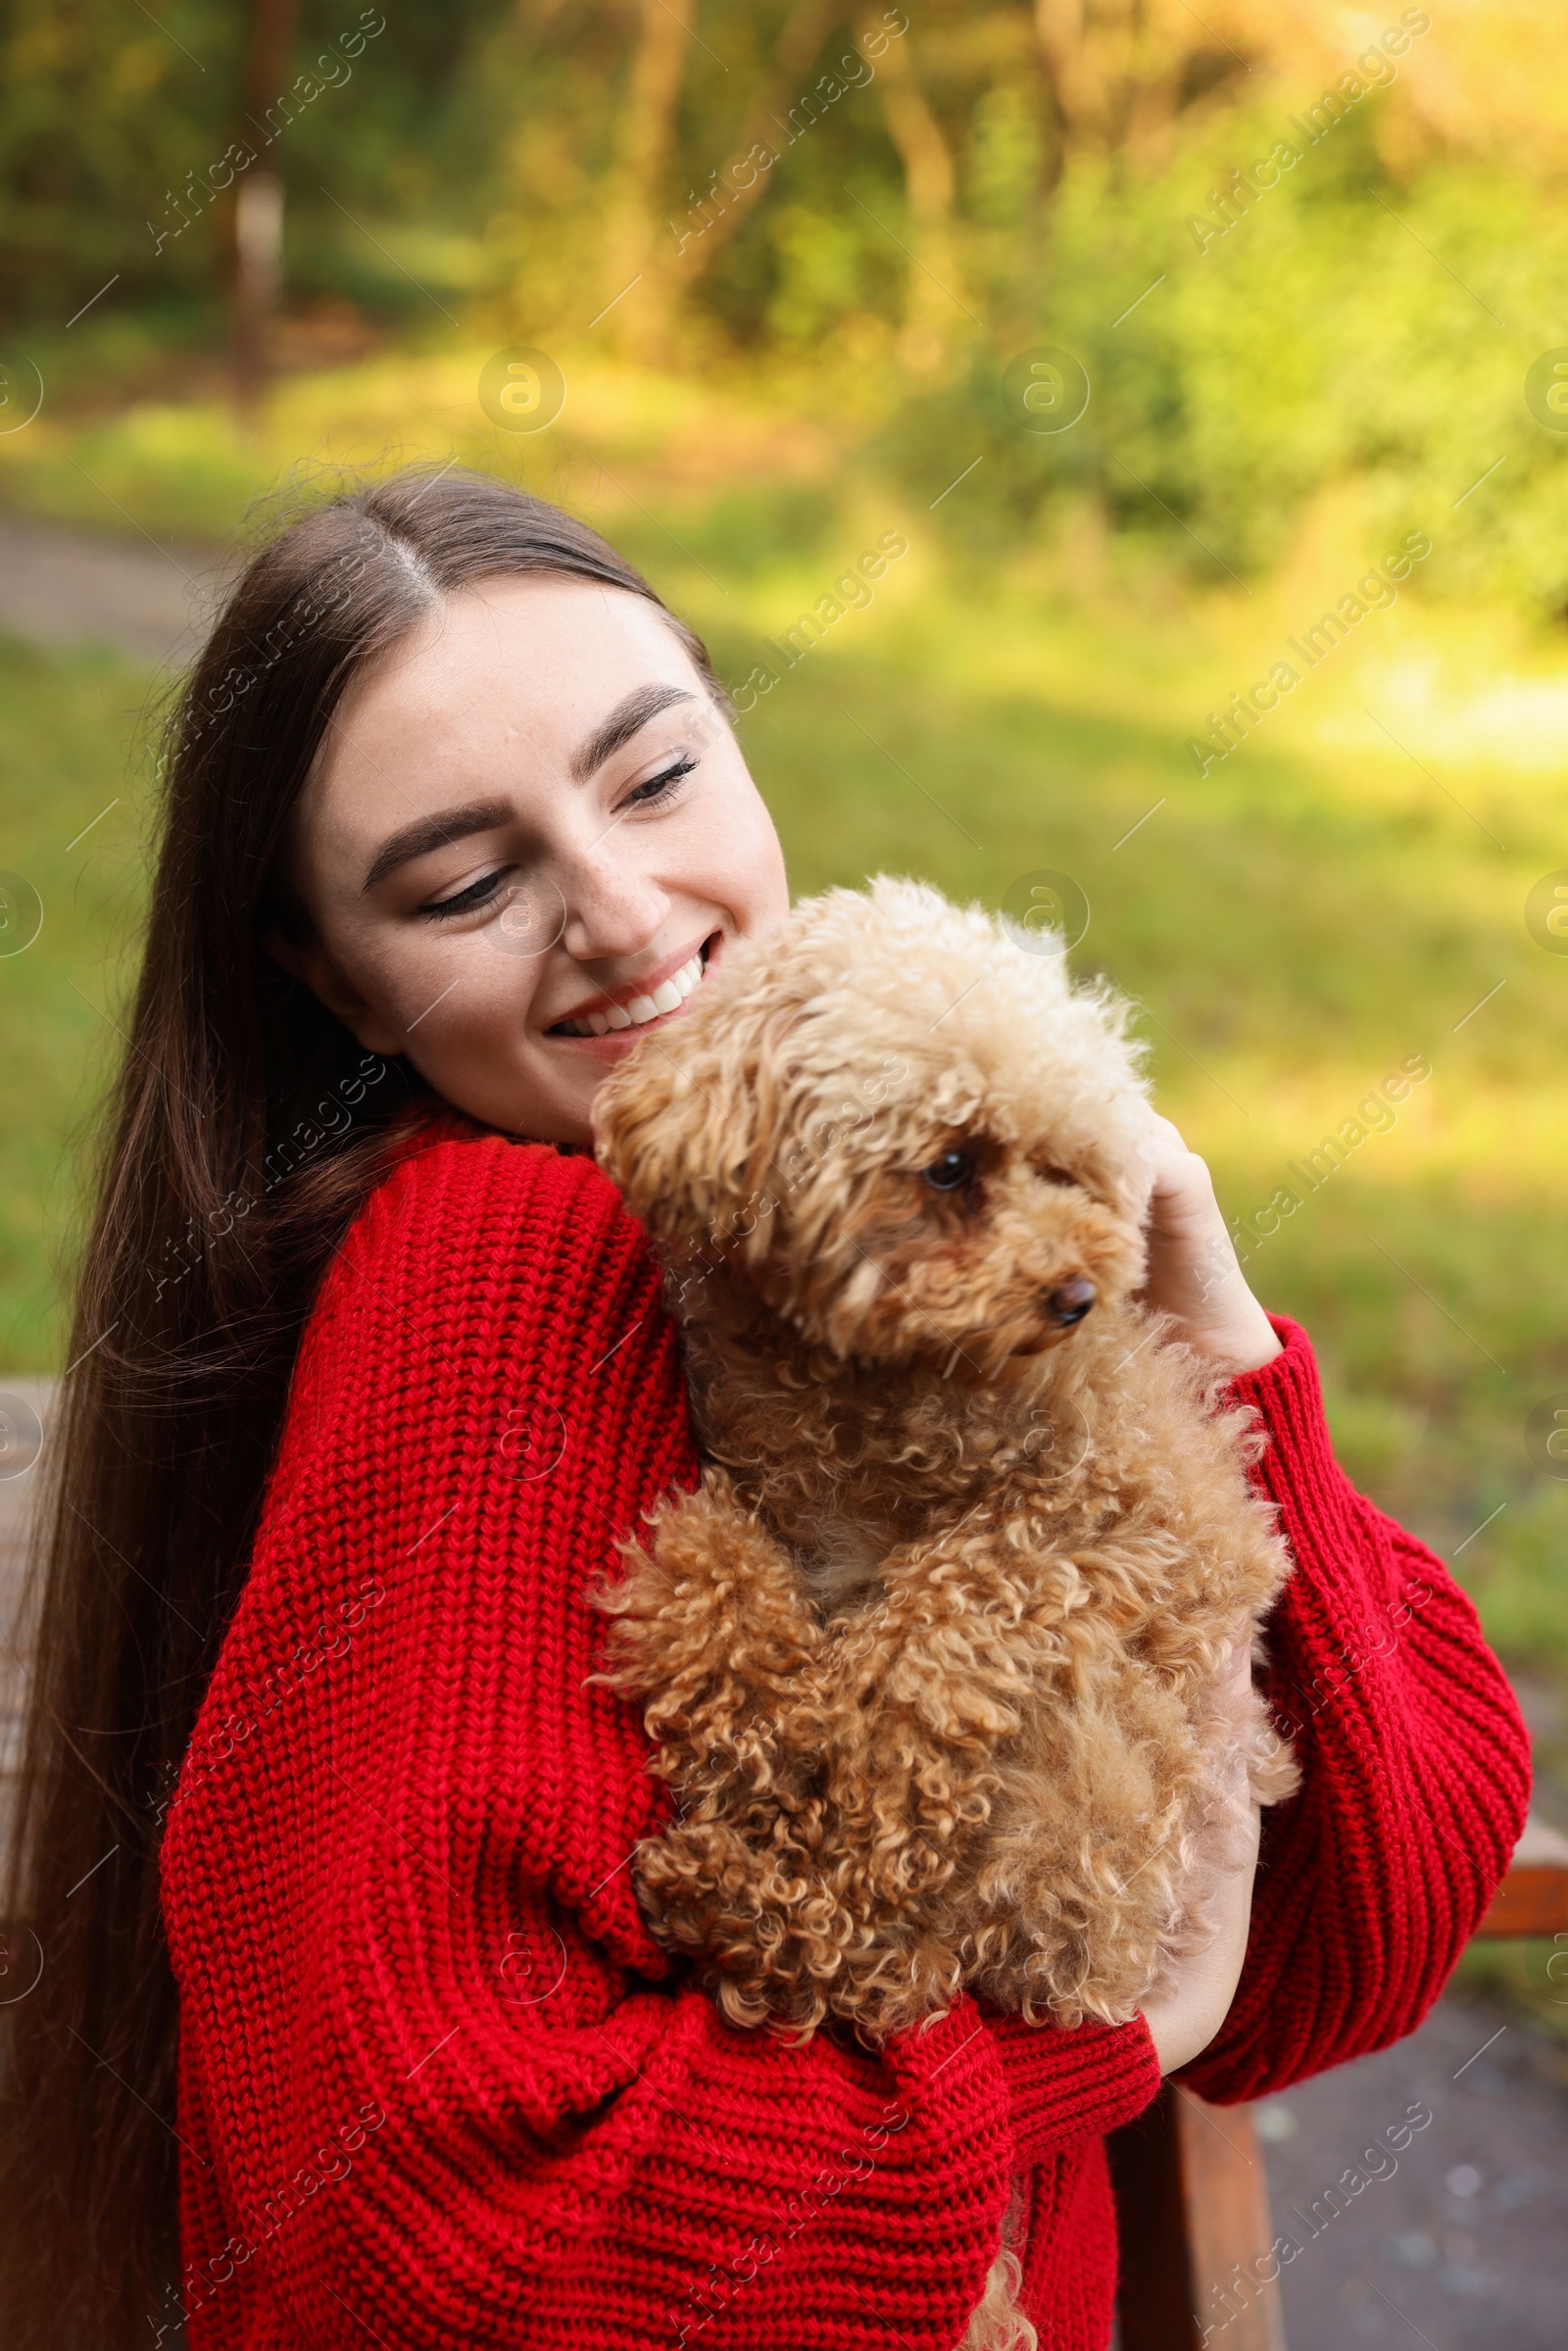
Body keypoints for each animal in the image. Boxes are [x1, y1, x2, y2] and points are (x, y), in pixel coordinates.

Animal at [587, 884, 1298, 2351]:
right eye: (953, 1165)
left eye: (1071, 1170)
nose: (1076, 1292)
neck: (884, 1391)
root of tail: (1097, 1952)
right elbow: (757, 1591)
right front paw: (716, 1593)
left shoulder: (1122, 1514)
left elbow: (951, 1604)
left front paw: (844, 1699)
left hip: (1076, 1780)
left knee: (877, 1946)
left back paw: (733, 1875)